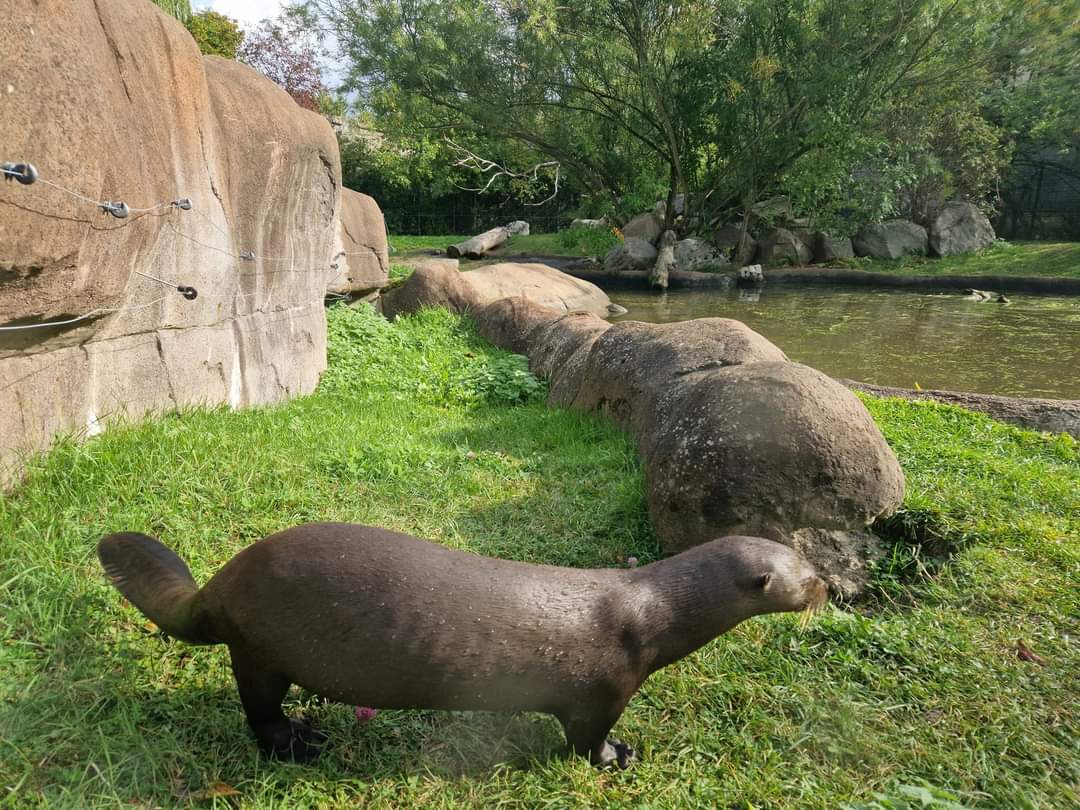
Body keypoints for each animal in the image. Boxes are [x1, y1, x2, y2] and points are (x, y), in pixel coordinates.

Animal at [98, 523, 827, 768]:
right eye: (806, 575)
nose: (827, 586)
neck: (651, 610)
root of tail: (219, 586)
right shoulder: (604, 689)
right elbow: (586, 739)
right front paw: (617, 757)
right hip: (259, 646)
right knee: (258, 709)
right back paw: (298, 742)